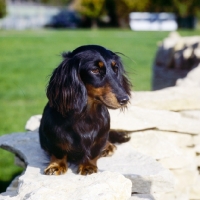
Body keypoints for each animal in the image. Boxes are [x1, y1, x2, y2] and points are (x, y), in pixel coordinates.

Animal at [39, 45, 132, 175]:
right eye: (95, 70)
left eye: (115, 68)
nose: (125, 99)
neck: (85, 114)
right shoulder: (54, 136)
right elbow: (58, 152)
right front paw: (56, 165)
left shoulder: (100, 136)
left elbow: (93, 152)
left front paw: (88, 165)